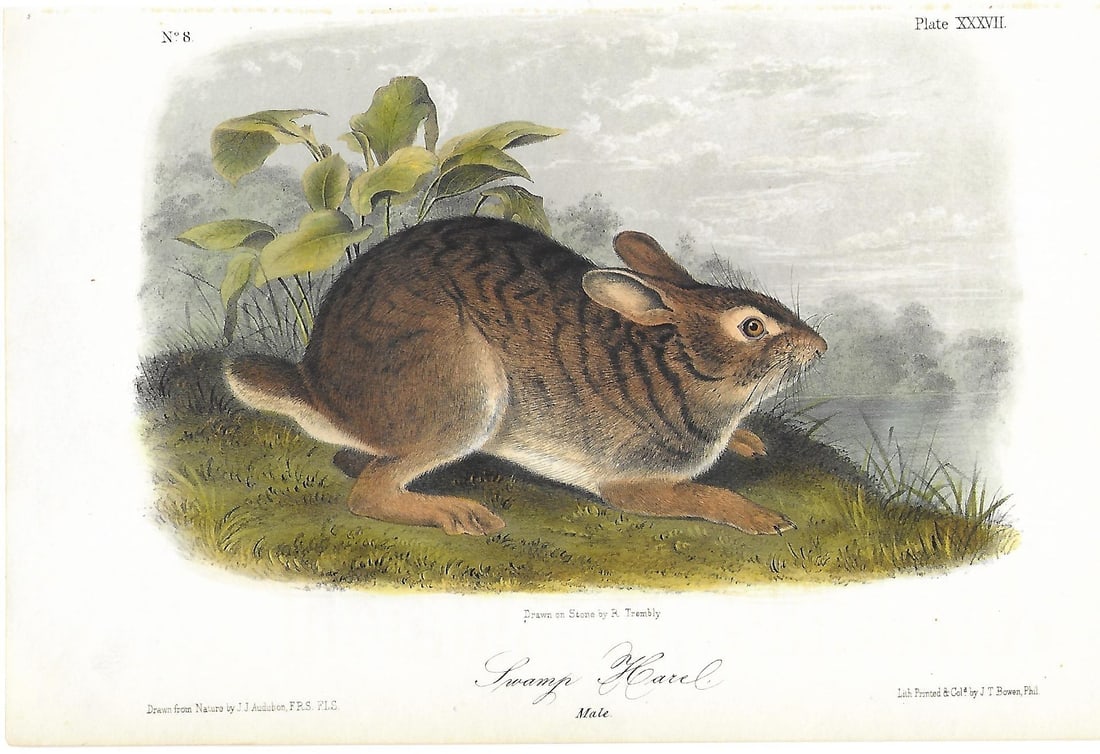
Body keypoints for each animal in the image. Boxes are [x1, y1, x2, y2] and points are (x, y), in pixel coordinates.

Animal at [226, 216, 827, 536]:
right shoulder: (631, 482)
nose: (819, 348)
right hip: (465, 392)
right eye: (752, 327)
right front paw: (766, 520)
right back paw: (460, 514)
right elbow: (704, 495)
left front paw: (750, 442)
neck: (679, 368)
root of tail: (318, 388)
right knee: (369, 489)